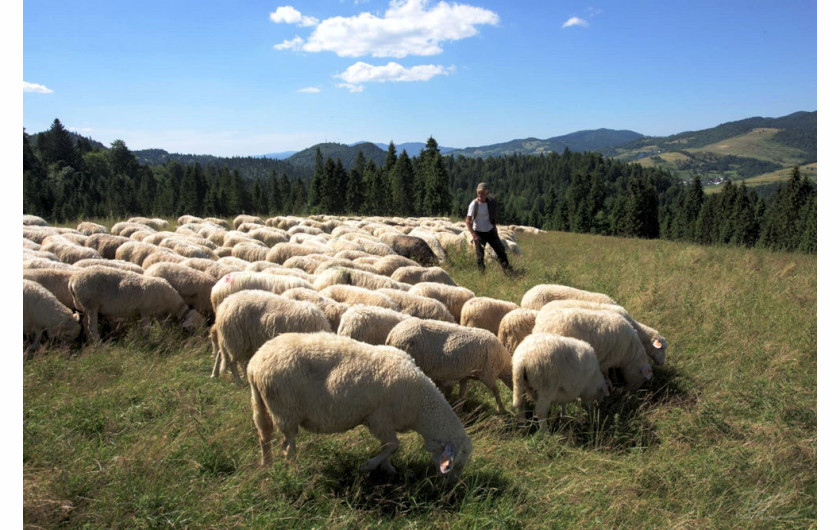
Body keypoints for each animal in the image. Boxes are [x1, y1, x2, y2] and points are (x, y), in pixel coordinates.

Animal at [69, 264, 205, 342]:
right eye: (194, 327)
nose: (198, 340)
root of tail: (73, 280)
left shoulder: (159, 314)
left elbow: (163, 326)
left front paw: (167, 336)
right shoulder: (145, 311)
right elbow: (146, 329)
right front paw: (146, 342)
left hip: (84, 306)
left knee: (85, 324)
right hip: (91, 304)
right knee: (91, 327)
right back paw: (99, 344)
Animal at [248, 330, 472, 474]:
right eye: (457, 464)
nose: (451, 486)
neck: (421, 409)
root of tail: (255, 364)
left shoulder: (384, 423)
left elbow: (387, 446)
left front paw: (388, 468)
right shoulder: (379, 419)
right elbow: (393, 445)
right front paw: (369, 465)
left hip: (261, 403)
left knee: (264, 436)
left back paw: (266, 466)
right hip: (285, 409)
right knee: (288, 447)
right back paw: (295, 471)